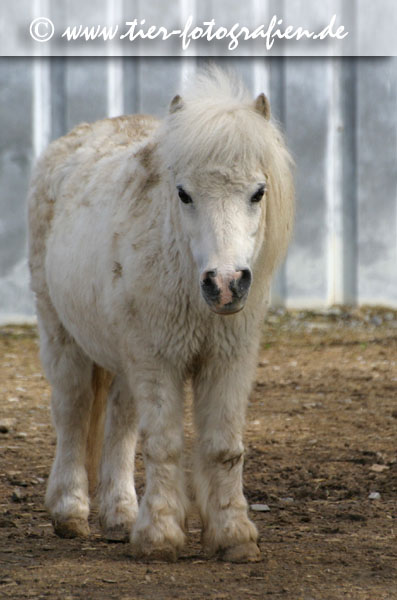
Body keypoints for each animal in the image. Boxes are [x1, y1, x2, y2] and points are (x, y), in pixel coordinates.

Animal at [27, 67, 292, 564]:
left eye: (258, 192)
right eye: (183, 193)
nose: (225, 284)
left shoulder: (228, 360)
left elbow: (223, 447)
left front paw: (233, 534)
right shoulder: (157, 360)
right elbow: (165, 445)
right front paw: (161, 536)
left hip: (126, 358)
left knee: (121, 423)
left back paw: (119, 517)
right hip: (63, 337)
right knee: (73, 412)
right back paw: (70, 511)